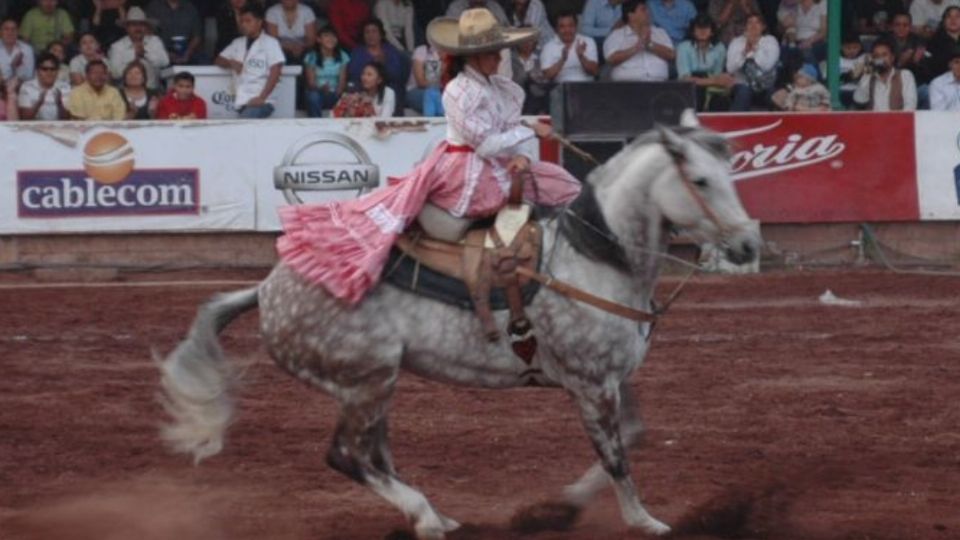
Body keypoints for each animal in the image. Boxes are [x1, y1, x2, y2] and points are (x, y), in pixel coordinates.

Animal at [159, 123, 764, 540]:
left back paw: (439, 515)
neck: (594, 256)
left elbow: (630, 436)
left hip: (376, 387)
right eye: (702, 180)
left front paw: (558, 508)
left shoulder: (610, 378)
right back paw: (426, 517)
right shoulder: (591, 385)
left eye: (731, 174)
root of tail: (267, 291)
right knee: (346, 455)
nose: (748, 245)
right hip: (364, 383)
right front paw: (644, 521)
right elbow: (616, 455)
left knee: (375, 455)